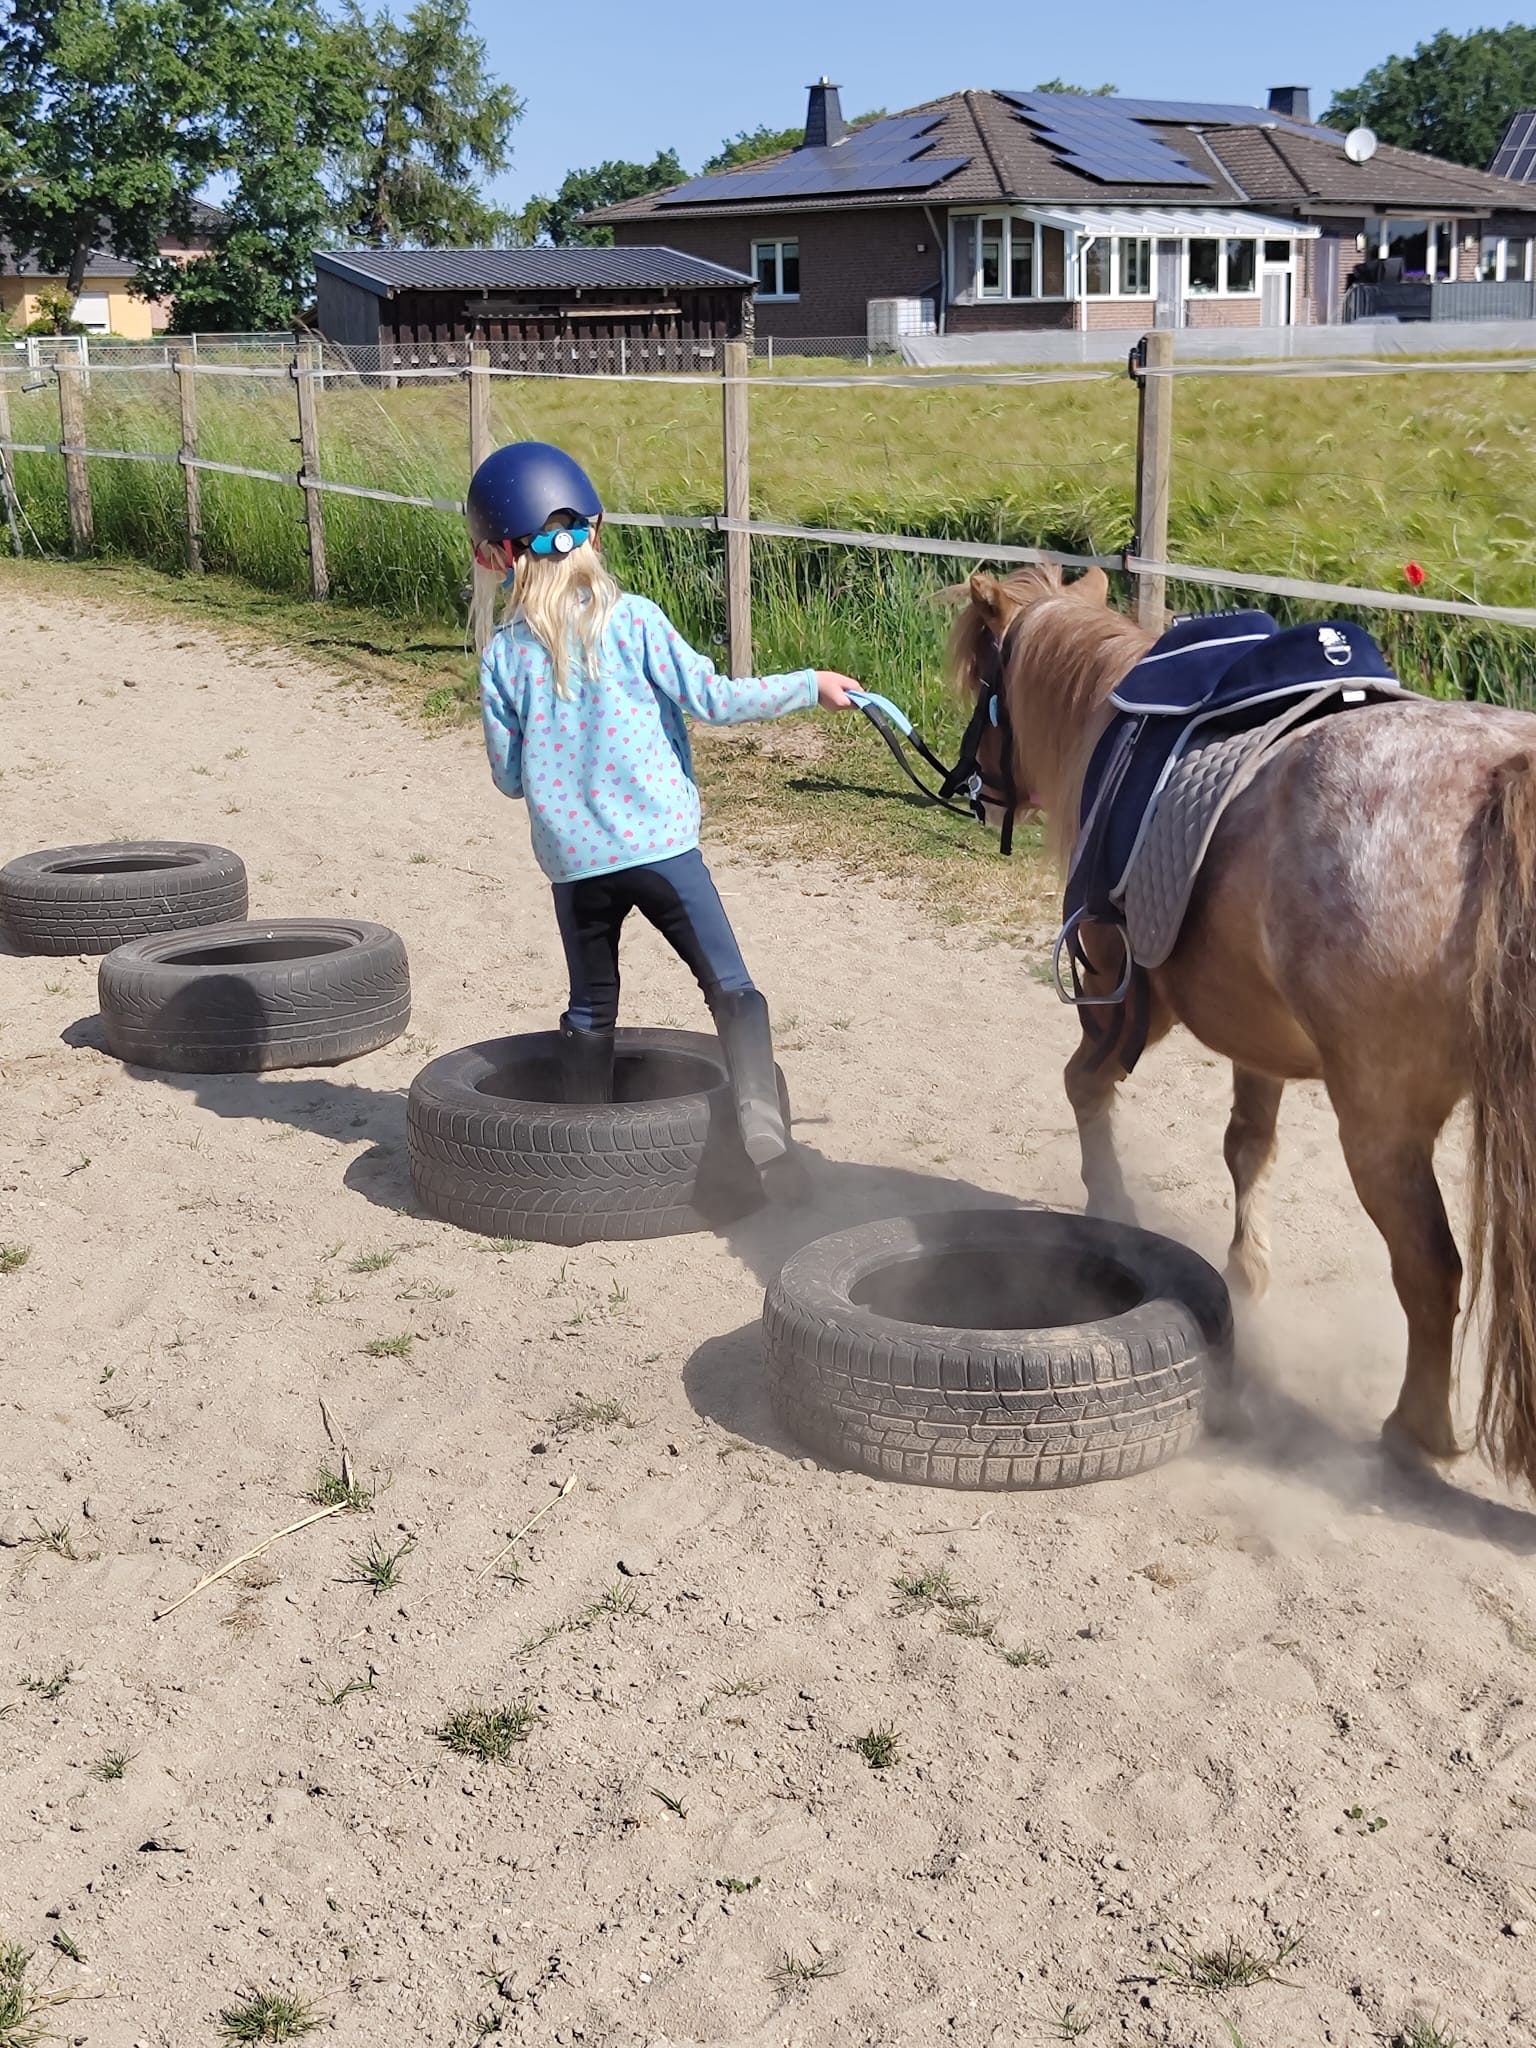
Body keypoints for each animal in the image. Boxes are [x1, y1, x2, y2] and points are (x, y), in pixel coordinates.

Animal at [950, 561, 1536, 1490]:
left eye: (985, 683)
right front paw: (1247, 1275)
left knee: (1429, 1271)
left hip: (1380, 1121)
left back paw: (1413, 1434)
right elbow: (1248, 1148)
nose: (973, 786)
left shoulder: (1123, 988)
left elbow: (1084, 1086)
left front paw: (1112, 1207)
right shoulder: (1257, 1032)